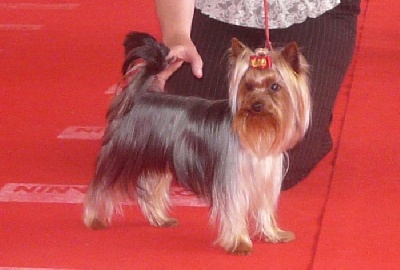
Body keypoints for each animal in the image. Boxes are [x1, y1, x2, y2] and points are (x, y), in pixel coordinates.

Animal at [83, 32, 310, 255]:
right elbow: (235, 210)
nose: (256, 106)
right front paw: (240, 242)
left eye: (275, 87)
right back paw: (94, 218)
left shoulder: (265, 179)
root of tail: (138, 96)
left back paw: (160, 218)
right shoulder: (232, 181)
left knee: (150, 188)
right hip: (121, 153)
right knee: (101, 185)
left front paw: (273, 234)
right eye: (248, 86)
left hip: (157, 159)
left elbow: (265, 208)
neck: (257, 132)